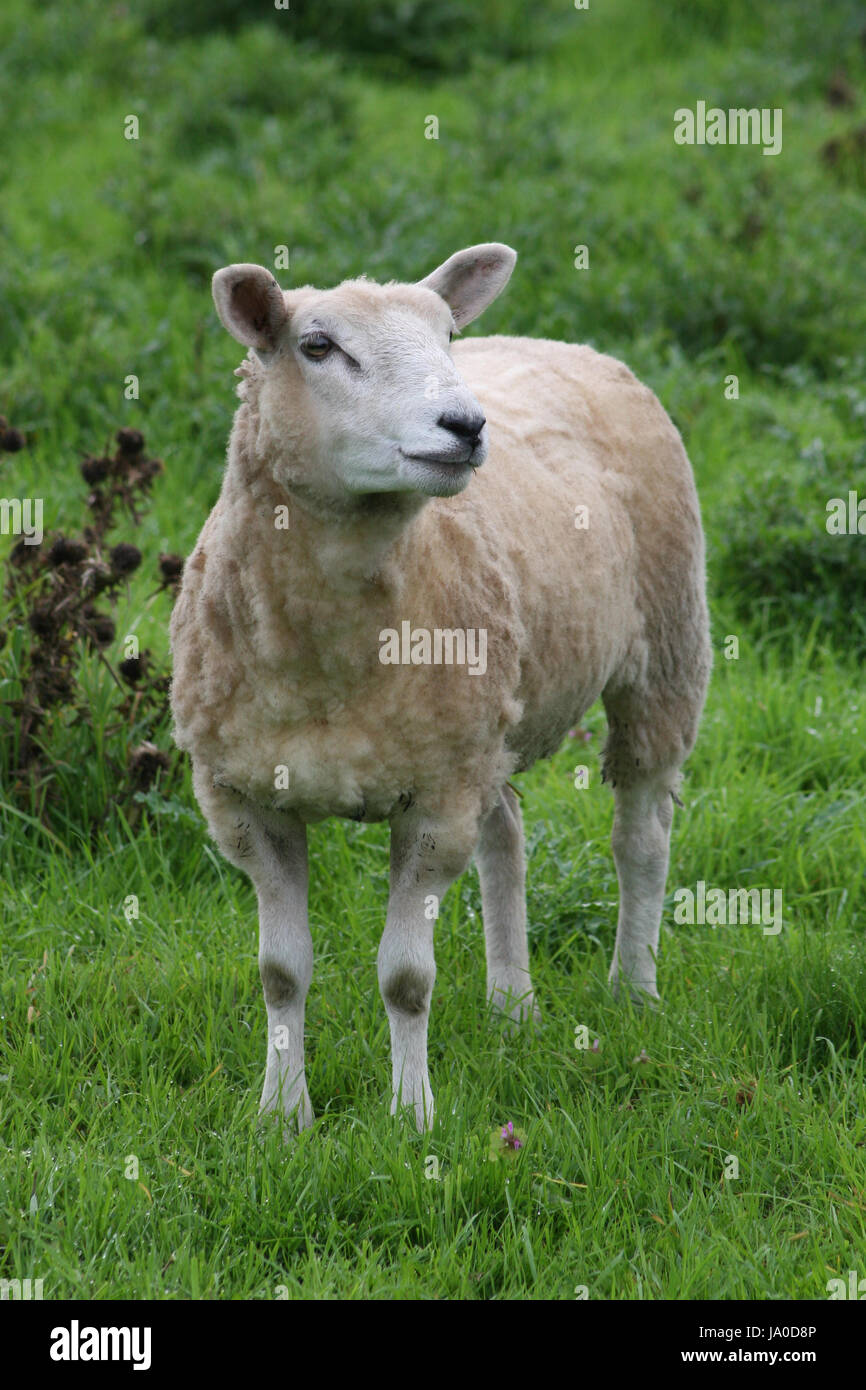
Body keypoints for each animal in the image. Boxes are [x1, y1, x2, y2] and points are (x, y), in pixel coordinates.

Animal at [169, 244, 711, 1134]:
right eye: (316, 346)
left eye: (446, 335)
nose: (465, 425)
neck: (326, 659)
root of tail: (556, 341)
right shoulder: (246, 800)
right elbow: (280, 971)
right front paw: (282, 1116)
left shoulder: (433, 803)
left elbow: (406, 979)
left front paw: (411, 1116)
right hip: (484, 728)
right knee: (507, 838)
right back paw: (512, 1006)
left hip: (664, 654)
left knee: (642, 837)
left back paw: (633, 988)